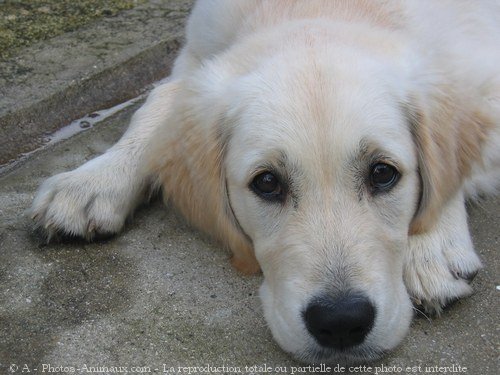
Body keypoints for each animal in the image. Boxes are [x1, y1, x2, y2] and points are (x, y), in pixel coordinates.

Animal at [31, 0, 500, 364]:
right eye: (268, 182)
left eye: (383, 173)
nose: (341, 323)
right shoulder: (196, 54)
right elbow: (159, 102)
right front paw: (94, 180)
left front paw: (431, 244)